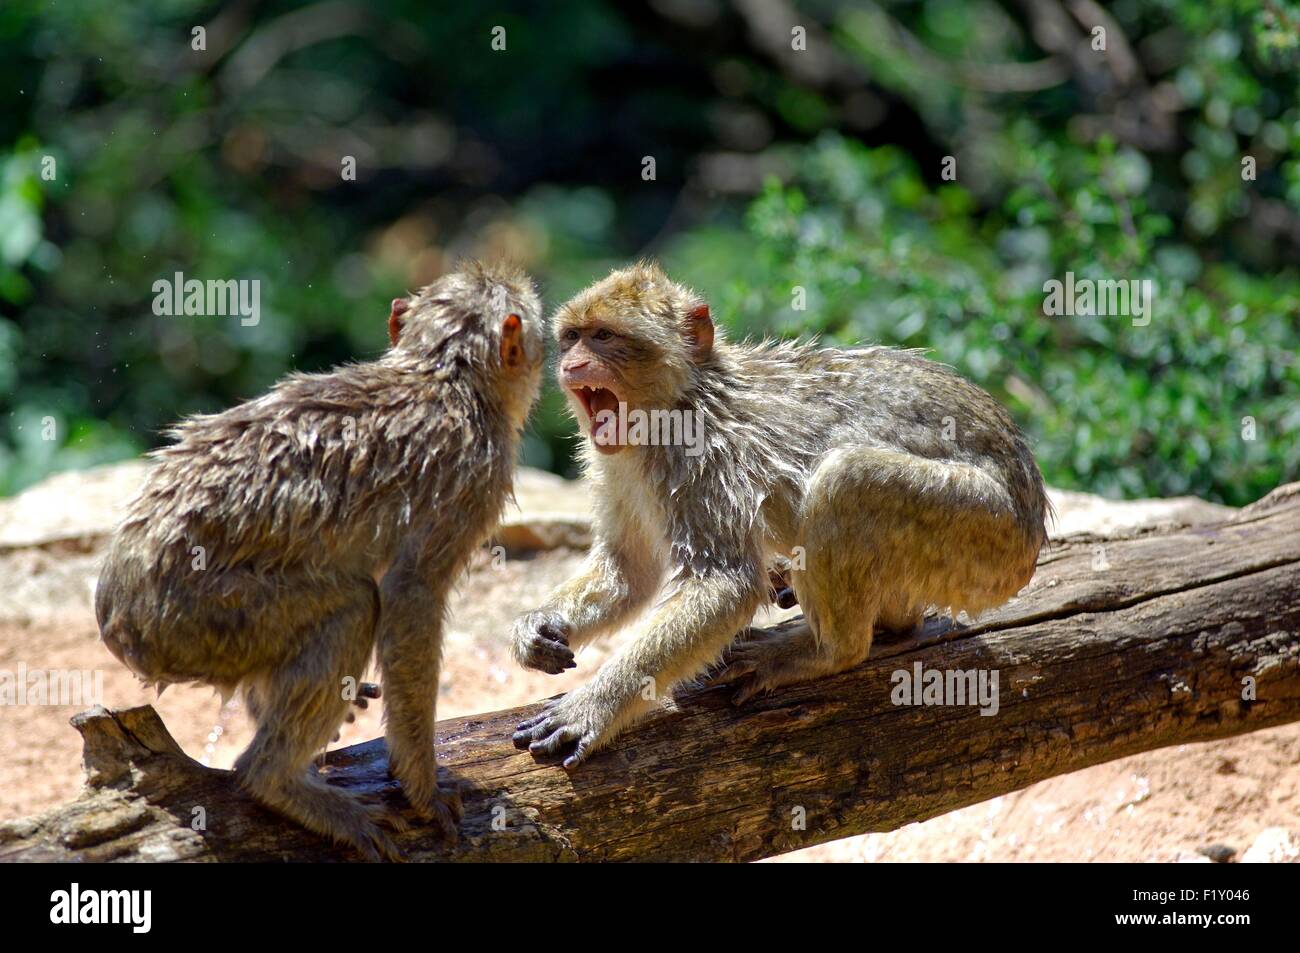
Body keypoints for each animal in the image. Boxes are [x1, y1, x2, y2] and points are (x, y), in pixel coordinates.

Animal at [96, 260, 545, 859]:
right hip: (193, 620)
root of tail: (113, 611)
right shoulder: (475, 474)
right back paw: (274, 780)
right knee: (353, 606)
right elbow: (410, 596)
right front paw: (423, 788)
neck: (444, 376)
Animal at [511, 261, 1047, 769]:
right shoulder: (618, 464)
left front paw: (594, 708)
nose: (574, 364)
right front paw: (537, 627)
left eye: (604, 336)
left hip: (987, 535)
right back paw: (892, 620)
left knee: (846, 479)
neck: (680, 400)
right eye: (572, 336)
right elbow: (630, 570)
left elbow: (725, 585)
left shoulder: (703, 457)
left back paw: (830, 651)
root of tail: (1033, 517)